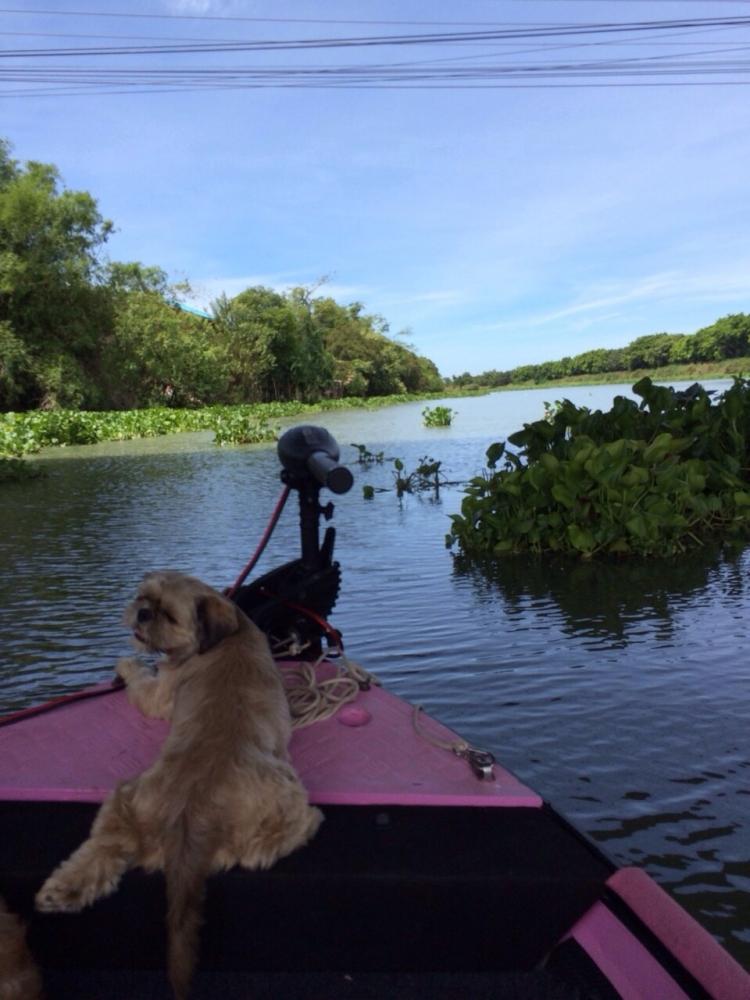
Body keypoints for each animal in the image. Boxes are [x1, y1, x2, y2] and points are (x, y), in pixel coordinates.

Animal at [35, 572, 324, 1000]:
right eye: (144, 597)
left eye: (168, 615)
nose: (141, 612)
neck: (227, 634)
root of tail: (192, 812)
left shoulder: (160, 692)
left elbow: (142, 678)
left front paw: (128, 664)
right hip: (136, 798)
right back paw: (64, 890)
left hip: (131, 798)